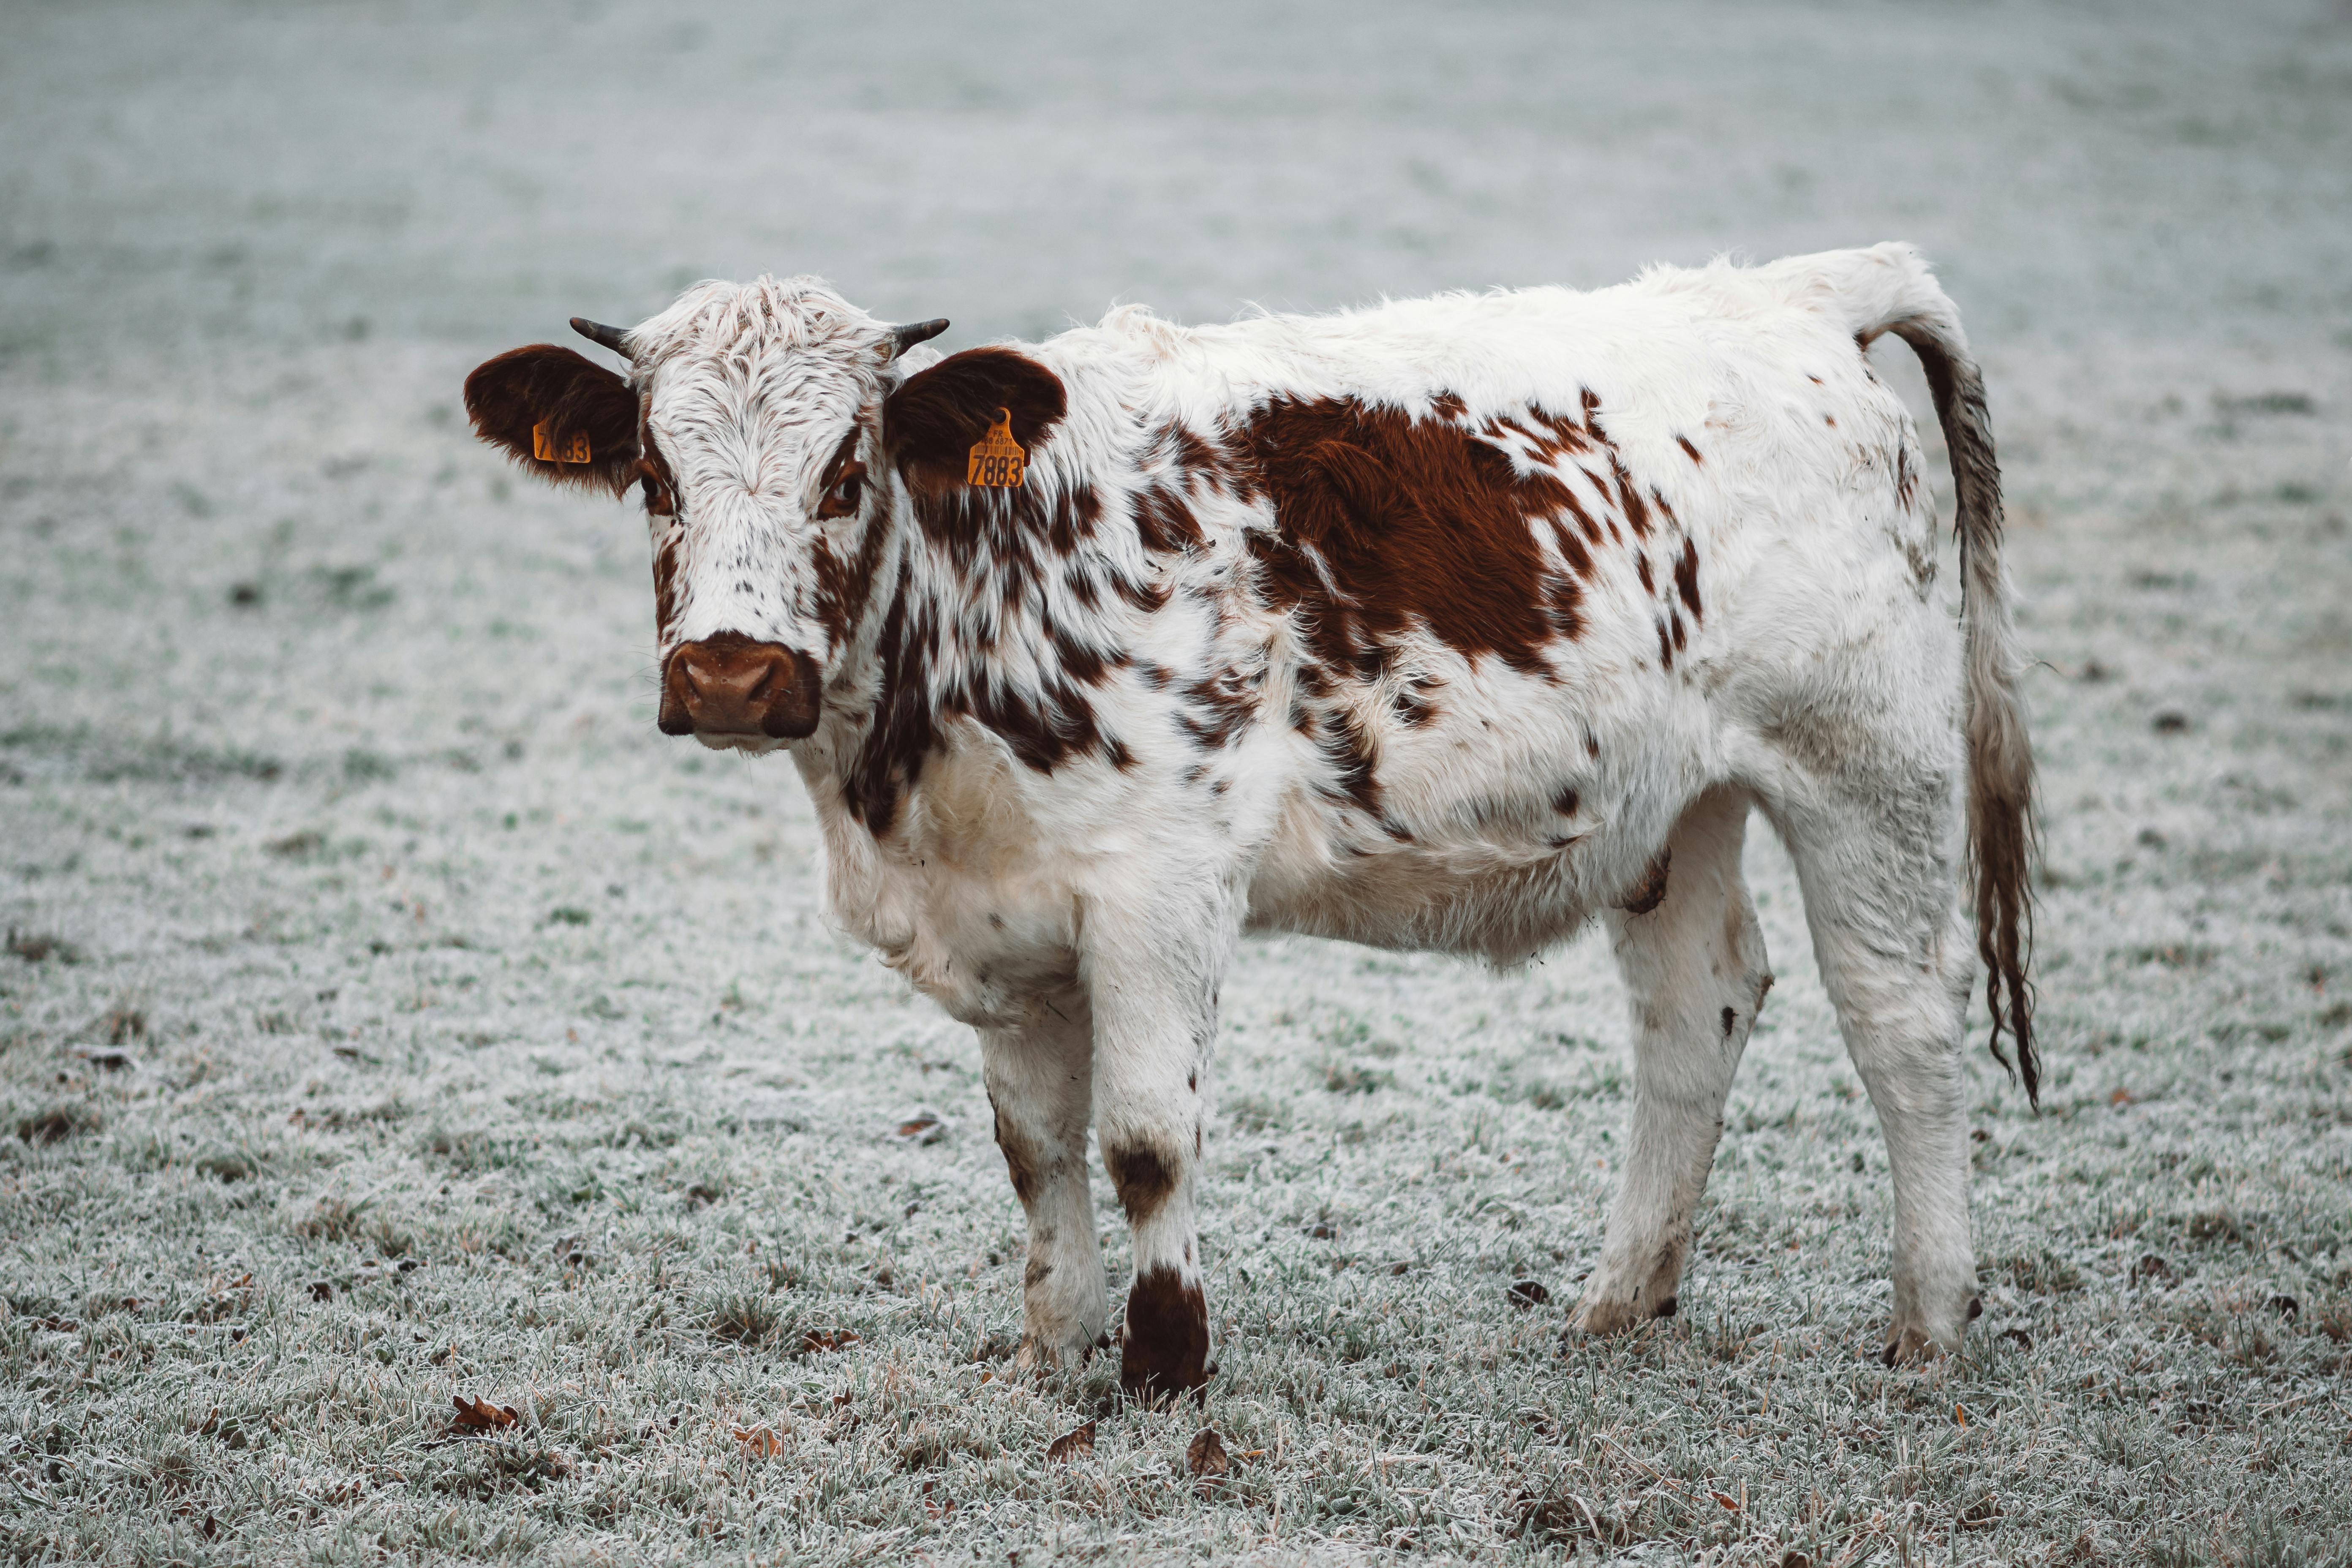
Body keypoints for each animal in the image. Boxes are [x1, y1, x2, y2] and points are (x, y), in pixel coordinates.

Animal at [468, 245, 2032, 1401]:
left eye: (845, 471)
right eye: (655, 477)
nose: (731, 674)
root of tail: (1803, 291)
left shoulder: (1158, 894)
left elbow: (1145, 1138)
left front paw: (1167, 1364)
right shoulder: (1006, 923)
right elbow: (1034, 1148)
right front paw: (1055, 1348)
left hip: (1862, 769)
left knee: (1901, 1022)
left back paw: (1930, 1320)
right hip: (1673, 801)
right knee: (1695, 1007)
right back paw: (1619, 1300)